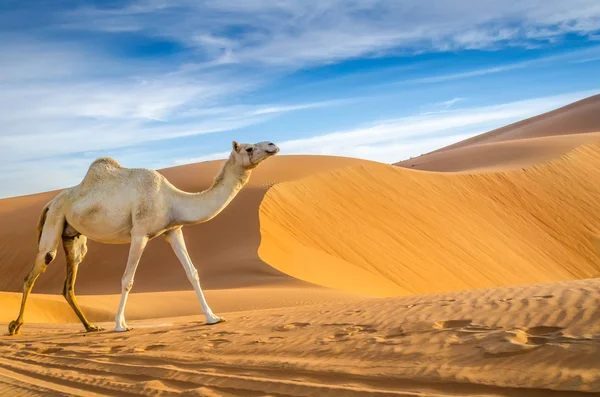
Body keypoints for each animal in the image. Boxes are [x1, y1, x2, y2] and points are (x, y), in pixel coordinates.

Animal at [7, 139, 278, 334]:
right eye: (249, 147)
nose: (273, 145)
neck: (171, 198)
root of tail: (50, 201)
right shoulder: (139, 233)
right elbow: (127, 279)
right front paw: (120, 325)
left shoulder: (173, 230)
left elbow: (192, 272)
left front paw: (212, 317)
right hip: (55, 220)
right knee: (35, 270)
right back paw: (15, 326)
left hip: (73, 236)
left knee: (68, 283)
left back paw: (90, 326)